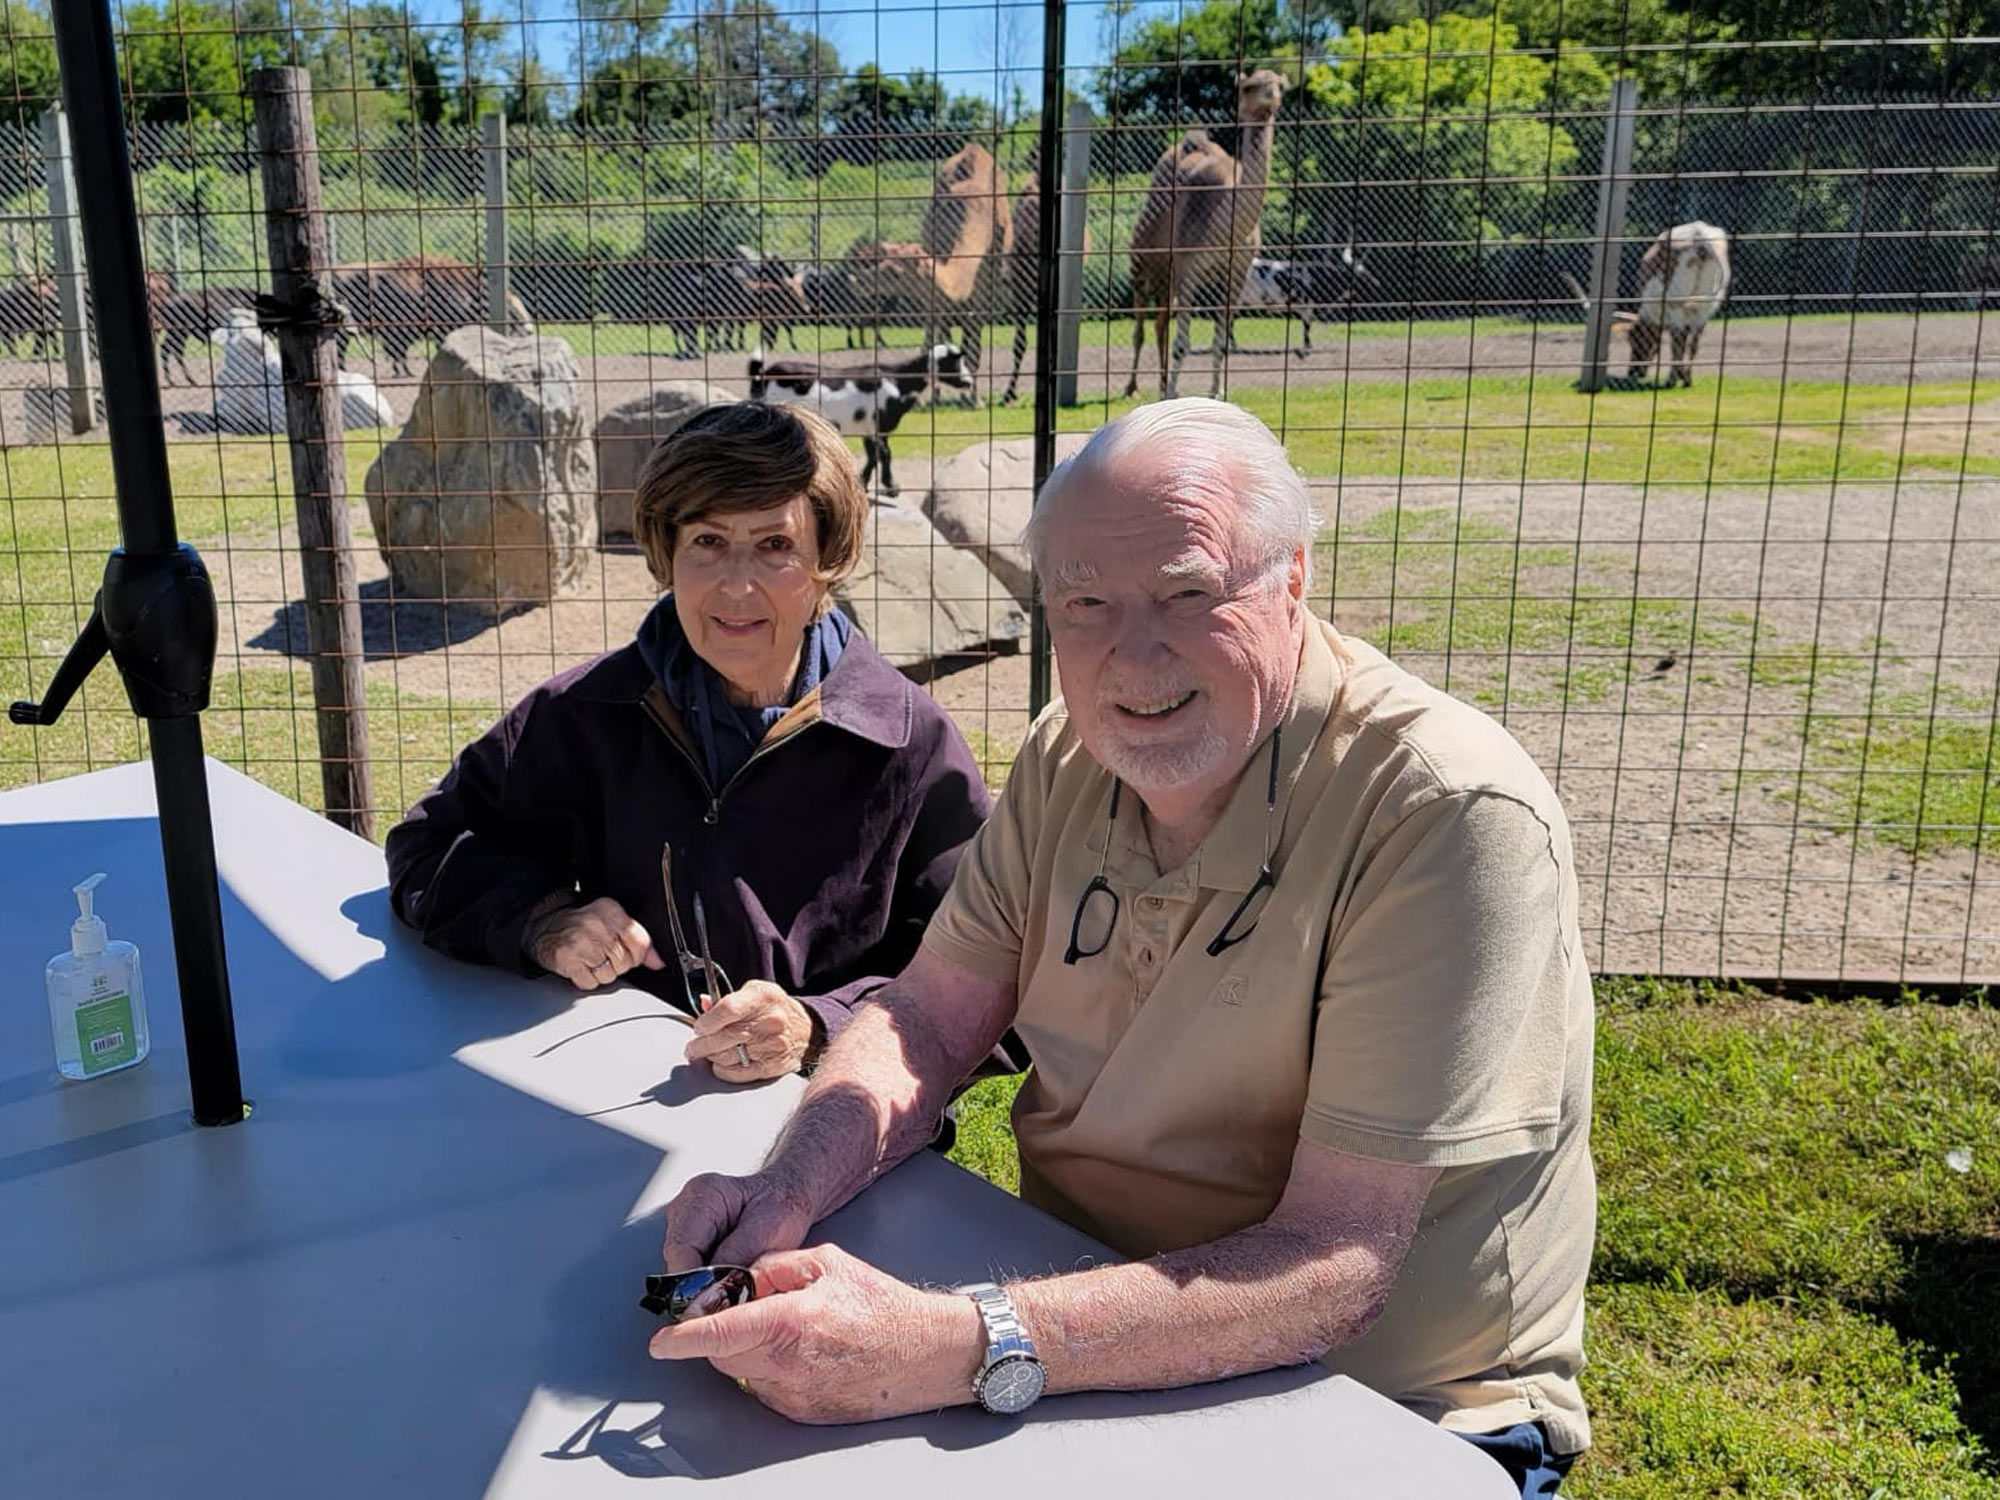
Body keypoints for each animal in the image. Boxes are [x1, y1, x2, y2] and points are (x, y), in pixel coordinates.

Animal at [748, 342, 972, 500]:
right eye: (954, 362)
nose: (969, 382)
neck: (898, 382)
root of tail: (764, 376)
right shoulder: (878, 423)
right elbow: (885, 454)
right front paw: (892, 488)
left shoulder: (869, 428)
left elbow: (873, 454)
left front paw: (863, 484)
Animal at [1120, 68, 1288, 402]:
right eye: (1249, 86)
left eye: (1279, 85)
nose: (1270, 96)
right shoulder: (1188, 269)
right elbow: (1181, 344)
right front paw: (1174, 392)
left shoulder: (1236, 274)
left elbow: (1220, 342)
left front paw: (1217, 392)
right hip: (1142, 266)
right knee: (1141, 328)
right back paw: (1134, 387)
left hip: (1166, 278)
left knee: (1160, 323)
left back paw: (1161, 384)